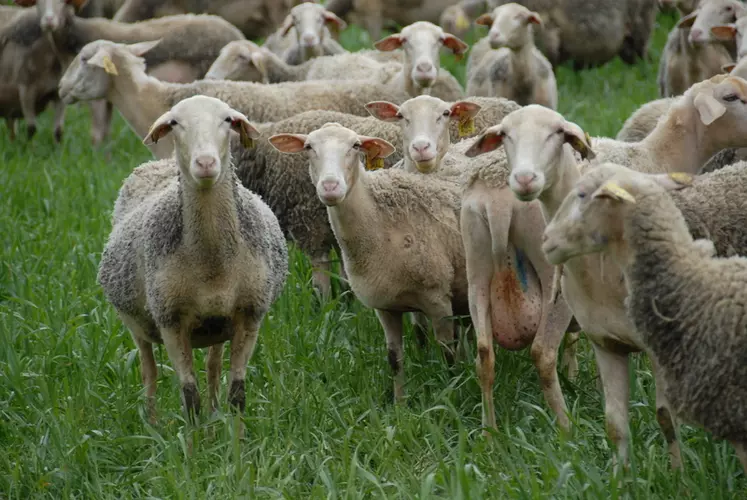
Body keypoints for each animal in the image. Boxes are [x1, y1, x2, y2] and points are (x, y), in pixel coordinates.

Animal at [97, 94, 290, 422]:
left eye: (228, 120)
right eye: (175, 122)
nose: (205, 163)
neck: (212, 263)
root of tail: (155, 164)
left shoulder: (249, 315)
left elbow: (237, 395)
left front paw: (234, 435)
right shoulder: (171, 322)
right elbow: (190, 399)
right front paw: (194, 437)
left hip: (218, 329)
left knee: (212, 369)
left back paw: (213, 420)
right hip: (136, 324)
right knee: (149, 373)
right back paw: (153, 425)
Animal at [268, 123, 468, 404]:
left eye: (355, 146)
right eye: (308, 147)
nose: (330, 186)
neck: (379, 219)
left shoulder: (438, 299)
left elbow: (447, 357)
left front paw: (453, 396)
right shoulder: (386, 306)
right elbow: (394, 359)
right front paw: (399, 405)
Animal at [540, 161, 747, 472]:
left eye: (582, 194)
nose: (545, 239)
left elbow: (665, 417)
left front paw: (678, 476)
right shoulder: (606, 345)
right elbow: (615, 424)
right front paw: (619, 475)